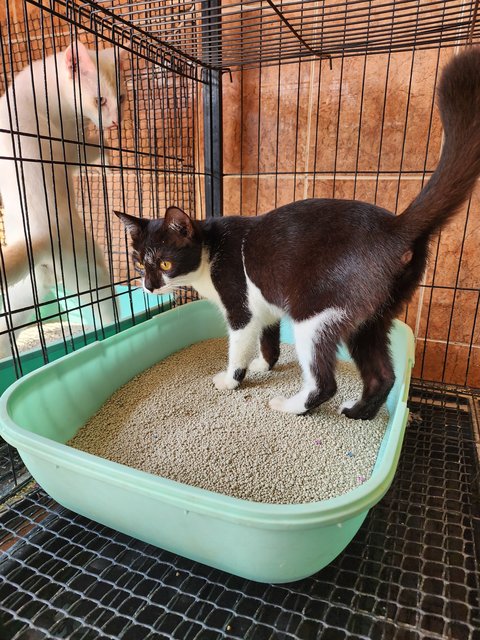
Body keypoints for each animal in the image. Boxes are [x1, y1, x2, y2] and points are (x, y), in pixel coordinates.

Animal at [0, 42, 125, 358]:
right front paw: (108, 153)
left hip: (24, 289)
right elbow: (88, 151)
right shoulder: (68, 144)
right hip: (92, 268)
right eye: (100, 100)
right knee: (106, 311)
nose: (116, 123)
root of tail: (39, 237)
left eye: (121, 97)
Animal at [116, 50, 480, 420]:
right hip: (372, 315)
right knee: (383, 374)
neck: (209, 250)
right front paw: (264, 365)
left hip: (316, 314)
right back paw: (358, 413)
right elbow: (269, 338)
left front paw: (232, 380)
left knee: (326, 382)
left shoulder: (241, 309)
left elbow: (239, 346)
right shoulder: (266, 304)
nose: (148, 285)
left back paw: (291, 406)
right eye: (138, 262)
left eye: (164, 263)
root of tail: (394, 228)